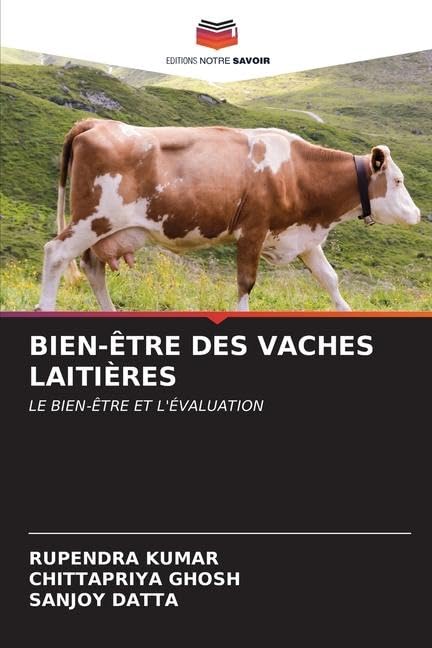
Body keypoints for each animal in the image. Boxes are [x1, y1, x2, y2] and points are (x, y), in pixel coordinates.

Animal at [36, 119, 421, 311]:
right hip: (92, 220)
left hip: (103, 229)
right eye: (398, 180)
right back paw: (46, 307)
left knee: (93, 268)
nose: (417, 214)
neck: (297, 172)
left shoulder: (301, 235)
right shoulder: (253, 230)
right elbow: (246, 284)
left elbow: (330, 279)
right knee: (56, 254)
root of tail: (95, 122)